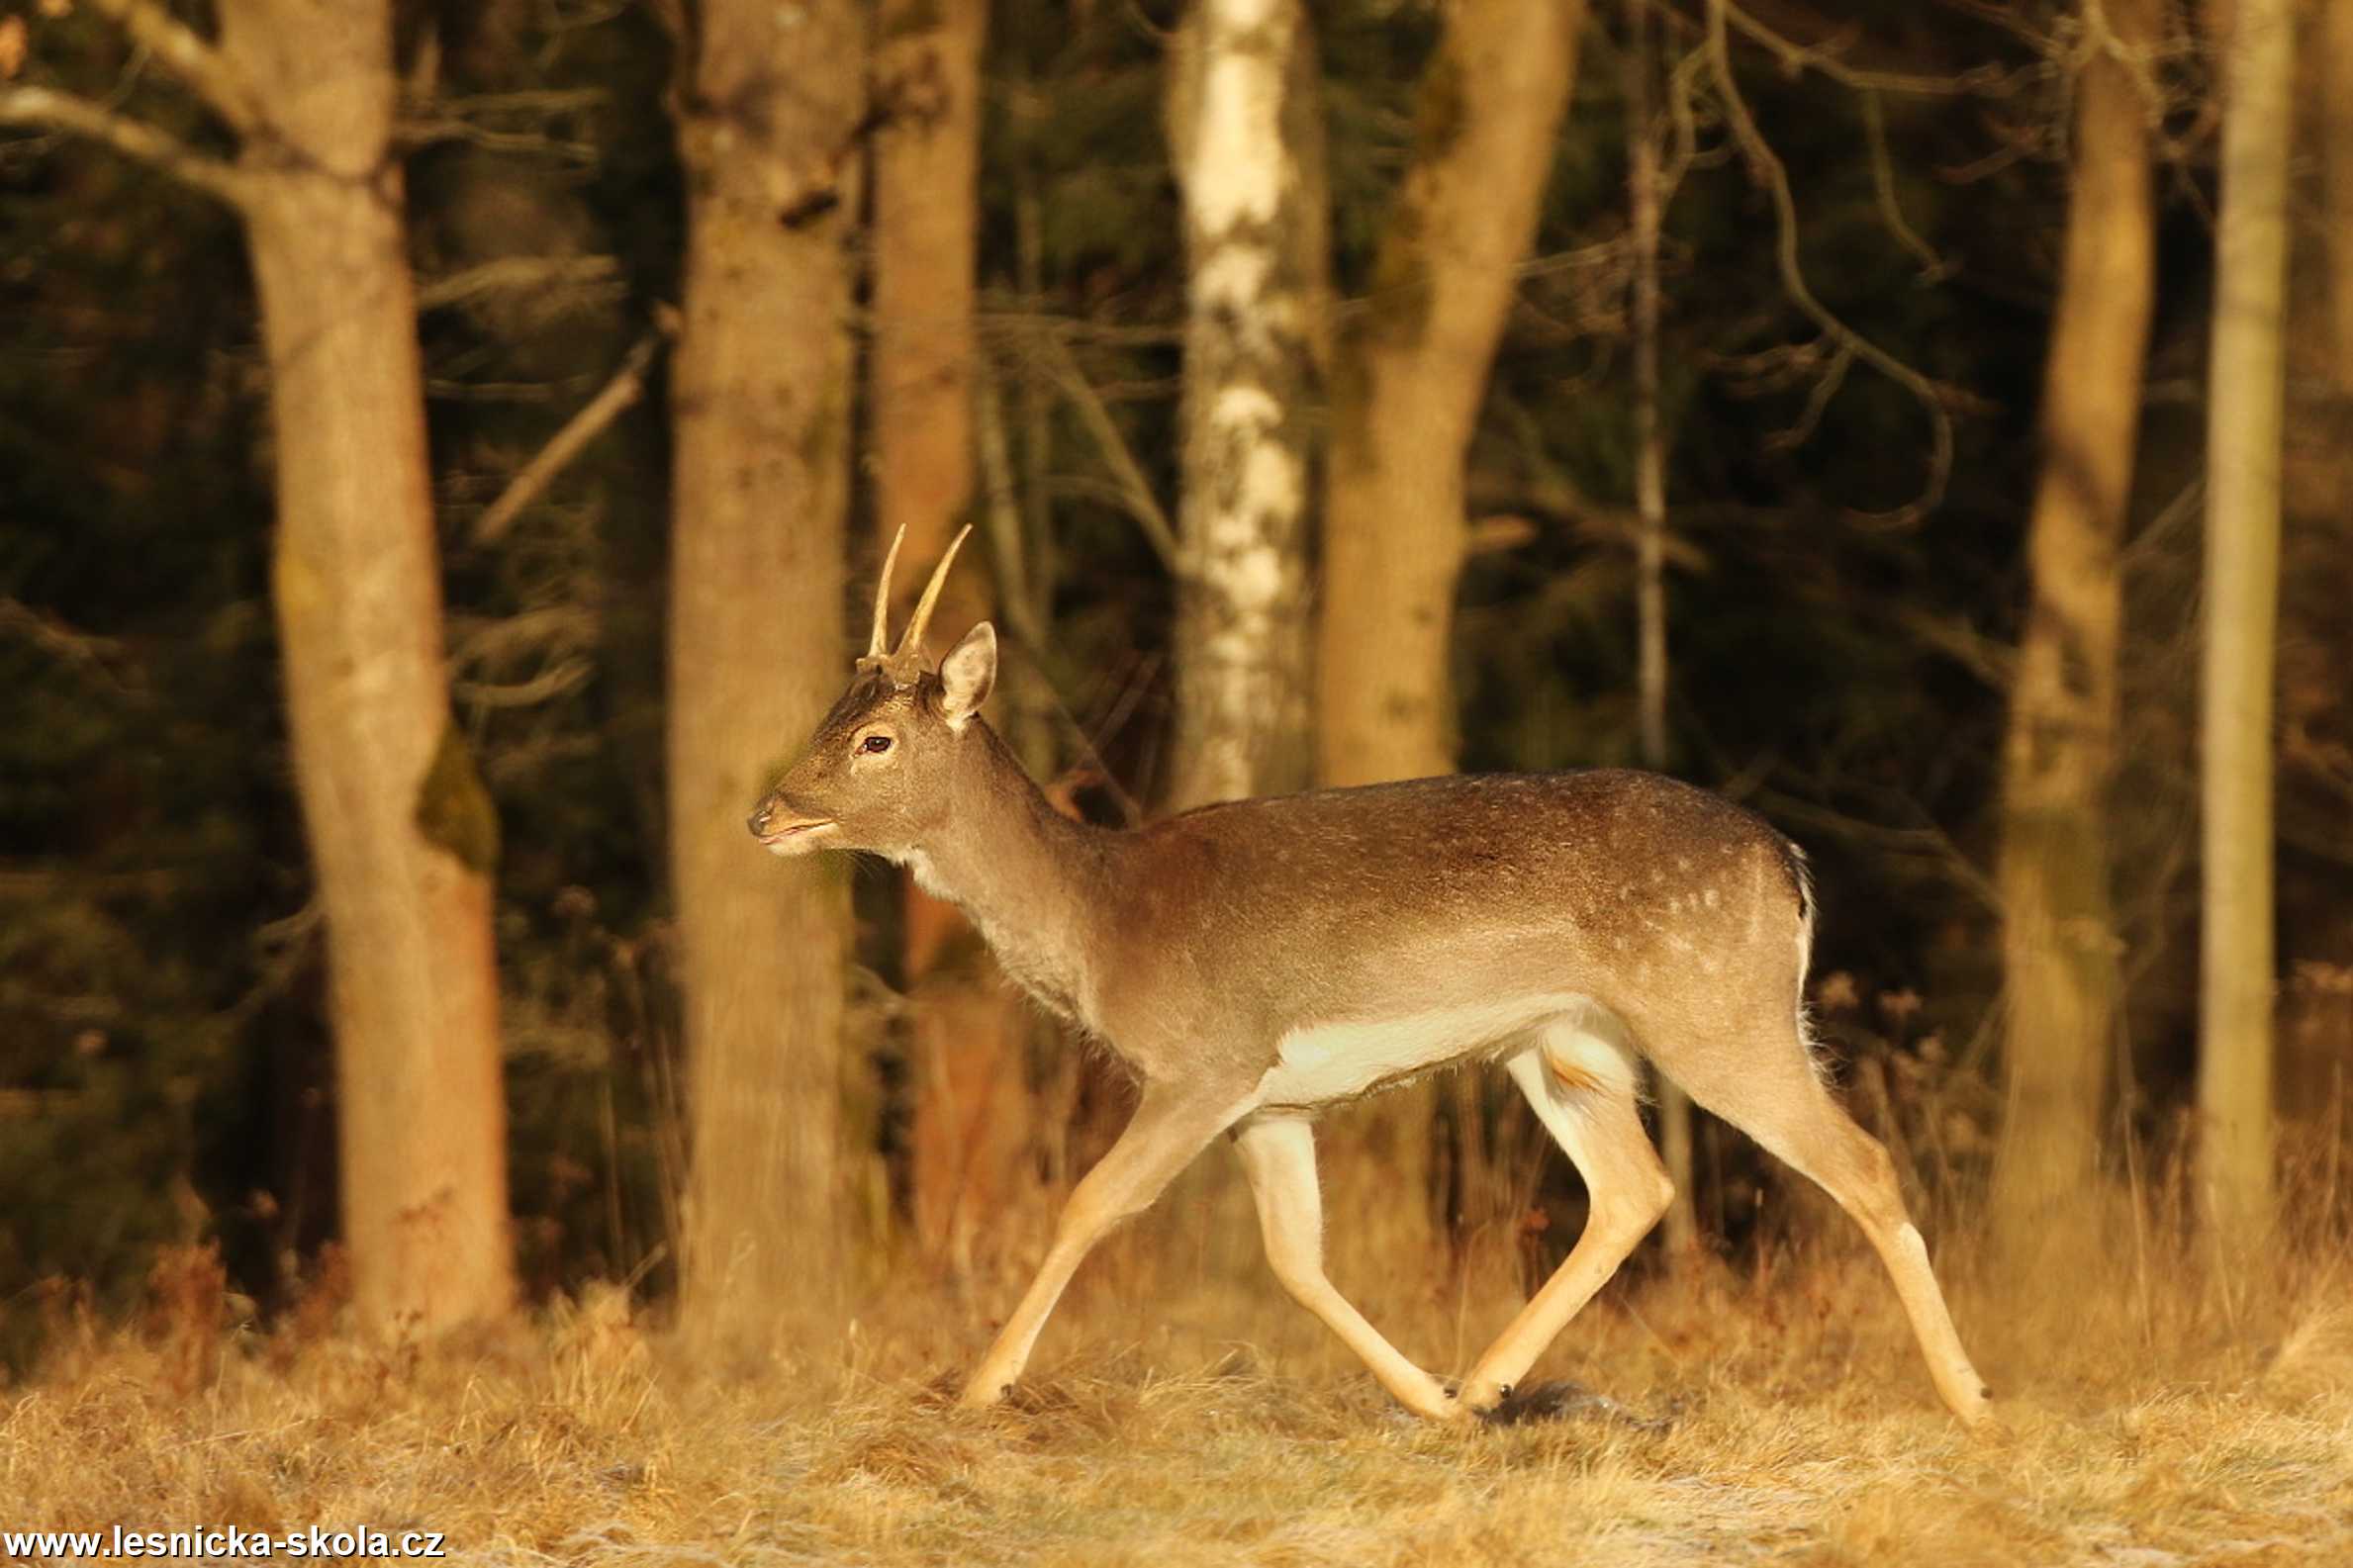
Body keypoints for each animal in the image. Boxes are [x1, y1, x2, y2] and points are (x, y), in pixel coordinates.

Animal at [743, 523, 1995, 1420]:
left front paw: (976, 1387)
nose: (766, 814)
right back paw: (1482, 1382)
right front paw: (1427, 1400)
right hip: (1563, 1042)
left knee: (1858, 1162)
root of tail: (1789, 863)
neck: (1103, 922)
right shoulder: (1270, 1101)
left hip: (1714, 1005)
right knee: (1634, 1186)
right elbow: (1295, 1259)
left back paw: (1970, 1398)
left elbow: (1091, 1200)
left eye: (875, 741)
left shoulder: (1203, 1058)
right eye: (828, 713)